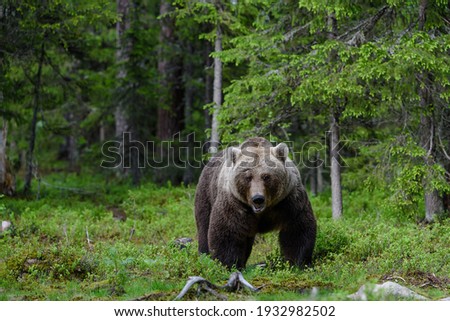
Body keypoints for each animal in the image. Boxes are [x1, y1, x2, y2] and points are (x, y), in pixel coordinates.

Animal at [194, 136, 316, 268]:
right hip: (206, 193)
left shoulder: (289, 200)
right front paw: (229, 264)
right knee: (204, 224)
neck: (263, 211)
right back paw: (204, 256)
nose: (258, 198)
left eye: (266, 176)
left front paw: (296, 263)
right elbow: (227, 232)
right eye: (248, 177)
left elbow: (297, 229)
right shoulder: (234, 202)